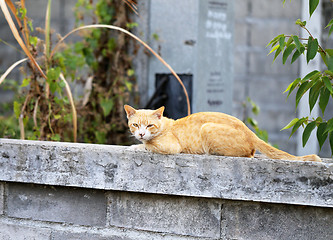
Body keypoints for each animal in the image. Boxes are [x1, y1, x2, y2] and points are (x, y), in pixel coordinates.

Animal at [123, 104, 320, 162]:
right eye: (135, 125)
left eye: (149, 126)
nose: (141, 134)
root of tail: (250, 132)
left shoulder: (170, 146)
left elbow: (148, 146)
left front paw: (134, 147)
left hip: (207, 128)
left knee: (247, 155)